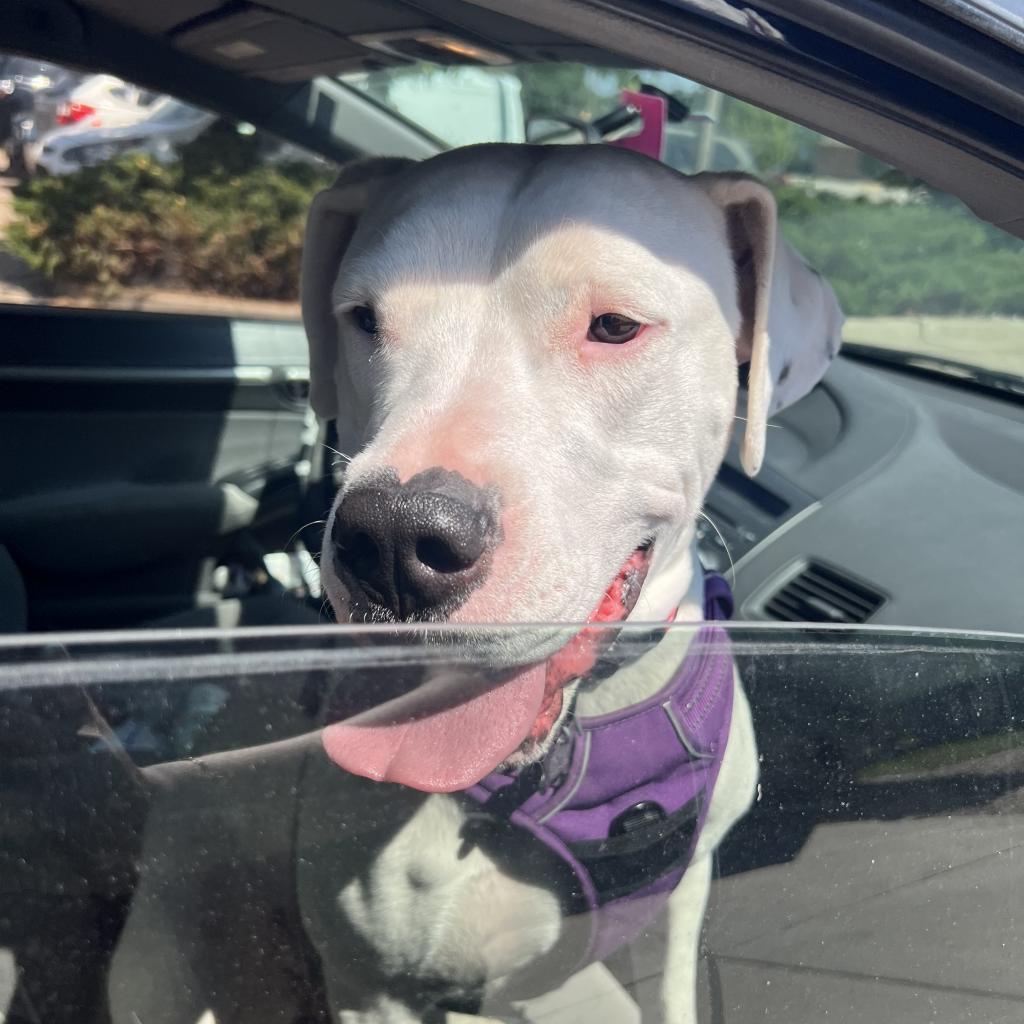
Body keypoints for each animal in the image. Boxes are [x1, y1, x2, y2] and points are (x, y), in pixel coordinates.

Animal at [110, 144, 839, 1024]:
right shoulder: (373, 988)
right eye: (364, 318)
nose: (394, 541)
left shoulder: (687, 890)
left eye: (615, 325)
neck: (591, 726)